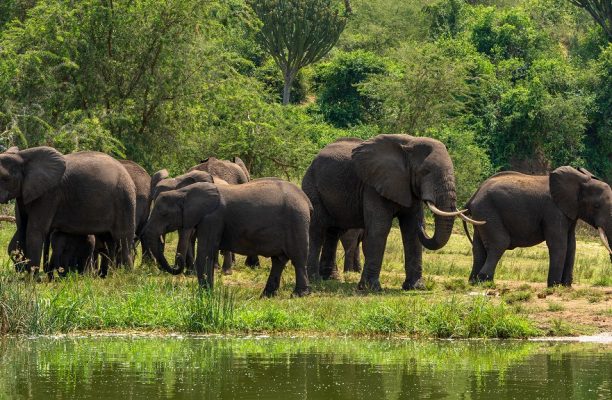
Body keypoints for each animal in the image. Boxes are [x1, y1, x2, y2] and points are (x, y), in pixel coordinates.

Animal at [0, 147, 136, 278]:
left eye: (5, 178)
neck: (22, 156)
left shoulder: (49, 194)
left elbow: (34, 231)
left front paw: (31, 280)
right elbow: (21, 229)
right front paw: (22, 275)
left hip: (124, 200)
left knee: (123, 240)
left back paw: (126, 276)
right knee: (109, 241)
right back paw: (107, 276)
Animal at [143, 179, 310, 296]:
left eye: (164, 214)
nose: (177, 262)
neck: (182, 193)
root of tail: (306, 199)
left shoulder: (212, 218)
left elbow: (205, 254)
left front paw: (205, 294)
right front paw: (208, 292)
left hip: (297, 221)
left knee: (298, 259)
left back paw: (299, 294)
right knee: (278, 261)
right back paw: (267, 296)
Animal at [302, 134, 482, 290]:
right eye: (425, 172)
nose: (423, 226)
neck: (409, 144)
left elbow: (411, 230)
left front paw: (415, 287)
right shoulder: (373, 185)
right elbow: (380, 227)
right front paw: (371, 288)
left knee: (333, 232)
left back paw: (331, 278)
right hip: (312, 187)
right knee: (318, 230)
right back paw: (315, 280)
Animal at [464, 166, 612, 288]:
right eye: (596, 206)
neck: (581, 179)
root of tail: (473, 196)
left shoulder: (570, 212)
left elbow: (571, 245)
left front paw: (566, 287)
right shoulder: (553, 210)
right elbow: (559, 244)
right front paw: (554, 286)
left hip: (481, 214)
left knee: (478, 248)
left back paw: (474, 282)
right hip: (487, 211)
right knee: (500, 243)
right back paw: (485, 282)